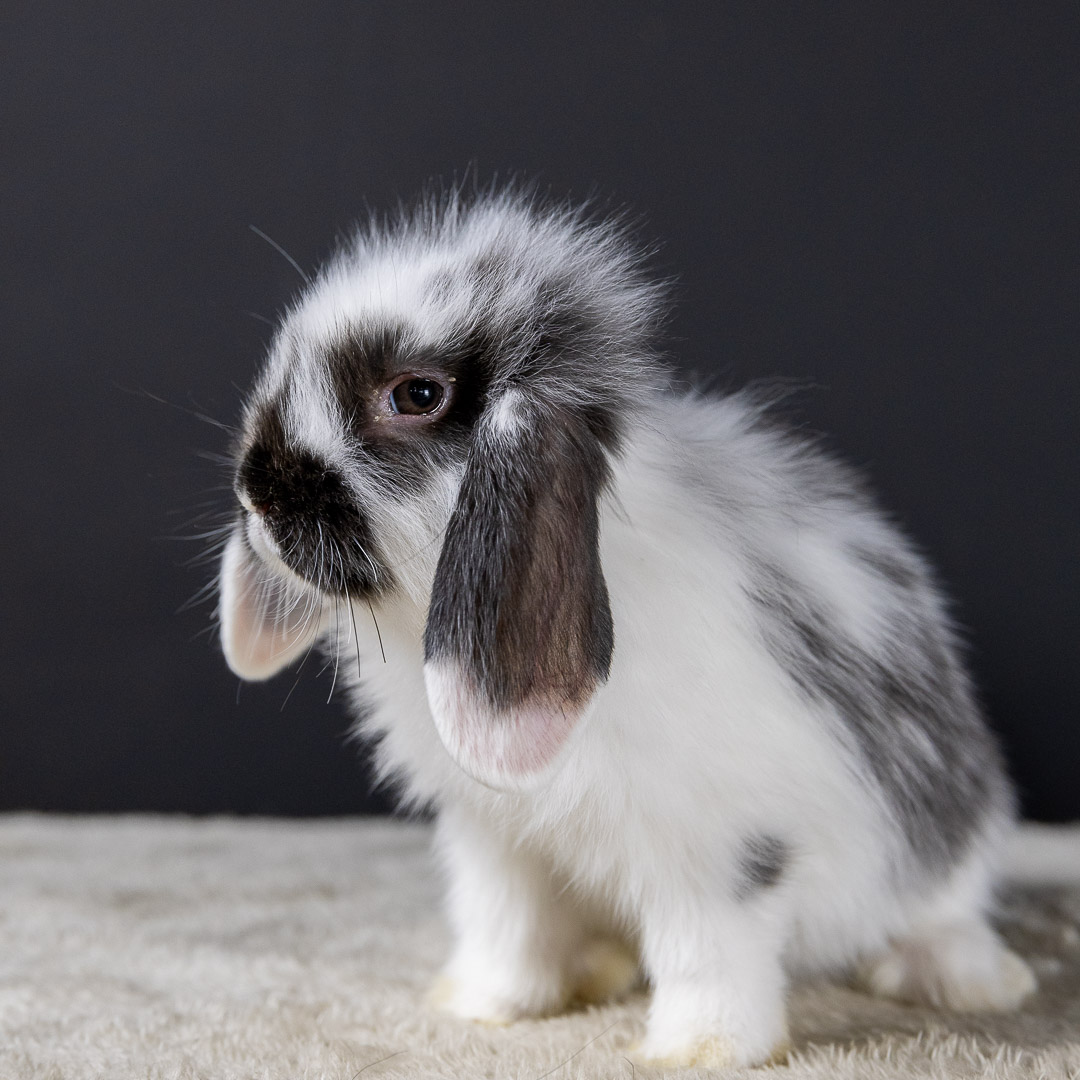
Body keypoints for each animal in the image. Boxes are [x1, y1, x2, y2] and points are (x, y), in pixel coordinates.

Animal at [214, 183, 1032, 1062]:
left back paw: (973, 980)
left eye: (418, 394)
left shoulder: (717, 850)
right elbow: (506, 927)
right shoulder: (496, 837)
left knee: (944, 906)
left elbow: (709, 956)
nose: (257, 488)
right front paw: (478, 1008)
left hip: (944, 847)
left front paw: (700, 1053)